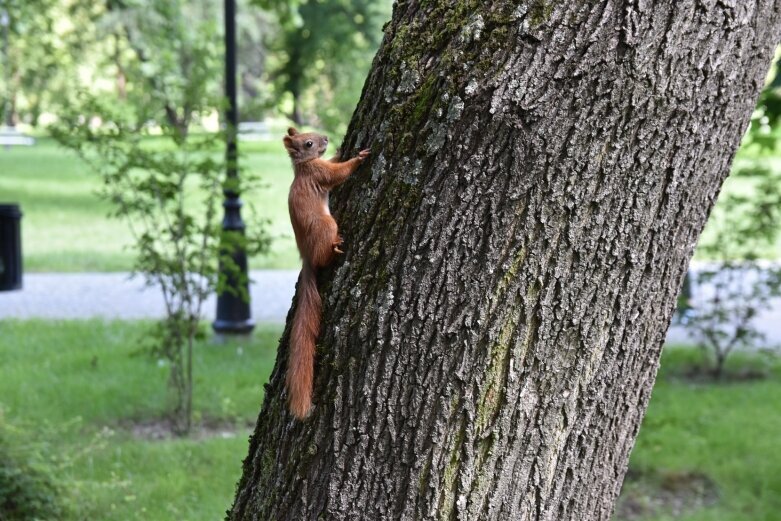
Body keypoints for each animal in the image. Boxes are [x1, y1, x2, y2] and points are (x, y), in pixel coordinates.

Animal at [284, 127, 368, 418]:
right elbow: (336, 174)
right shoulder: (318, 173)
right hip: (327, 226)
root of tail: (307, 258)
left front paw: (341, 149)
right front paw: (358, 158)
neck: (303, 167)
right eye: (308, 143)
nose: (326, 139)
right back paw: (335, 249)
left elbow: (333, 163)